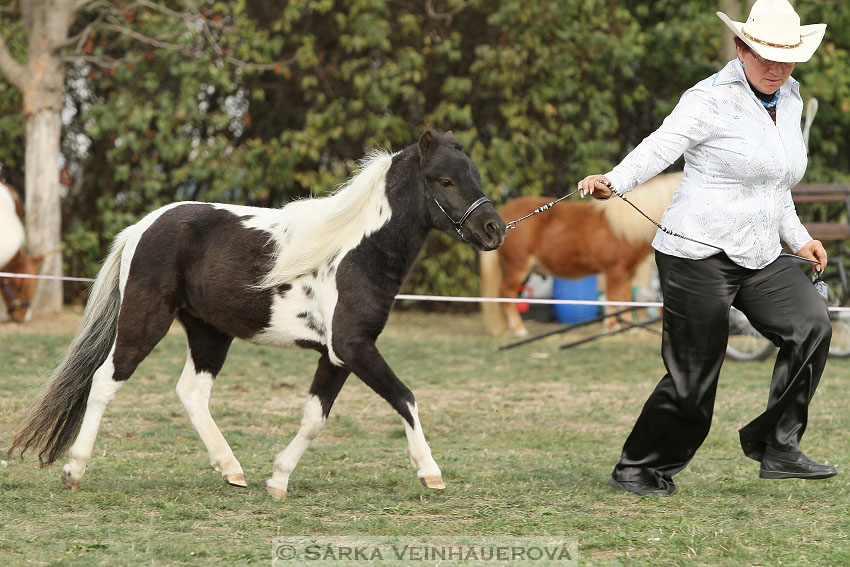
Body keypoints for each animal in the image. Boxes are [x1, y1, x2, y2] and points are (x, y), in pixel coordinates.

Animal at [8, 131, 504, 500]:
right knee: (106, 381)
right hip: (144, 322)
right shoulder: (354, 347)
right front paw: (431, 472)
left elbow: (315, 417)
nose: (494, 229)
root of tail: (140, 228)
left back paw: (232, 469)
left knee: (191, 392)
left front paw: (277, 479)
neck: (355, 252)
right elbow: (405, 397)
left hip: (209, 333)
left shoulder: (337, 355)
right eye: (444, 181)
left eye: (475, 175)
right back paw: (74, 471)